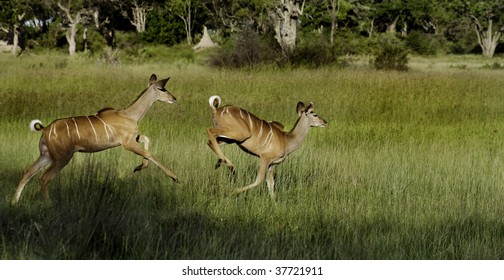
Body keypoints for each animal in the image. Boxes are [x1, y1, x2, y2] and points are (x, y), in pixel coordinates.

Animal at [12, 73, 179, 205]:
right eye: (162, 89)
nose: (174, 98)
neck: (129, 115)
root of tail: (45, 129)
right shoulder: (127, 143)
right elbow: (149, 153)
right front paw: (175, 177)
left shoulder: (133, 139)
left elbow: (146, 140)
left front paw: (138, 167)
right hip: (62, 157)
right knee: (43, 178)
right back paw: (49, 204)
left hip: (46, 155)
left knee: (27, 172)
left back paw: (14, 202)